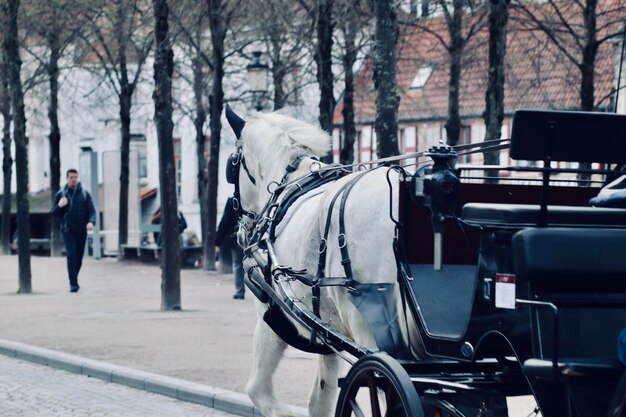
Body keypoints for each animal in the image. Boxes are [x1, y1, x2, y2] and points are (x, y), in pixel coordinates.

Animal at [222, 108, 422, 417]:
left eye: (232, 166)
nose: (241, 231)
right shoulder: (329, 339)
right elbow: (321, 401)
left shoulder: (272, 320)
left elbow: (259, 390)